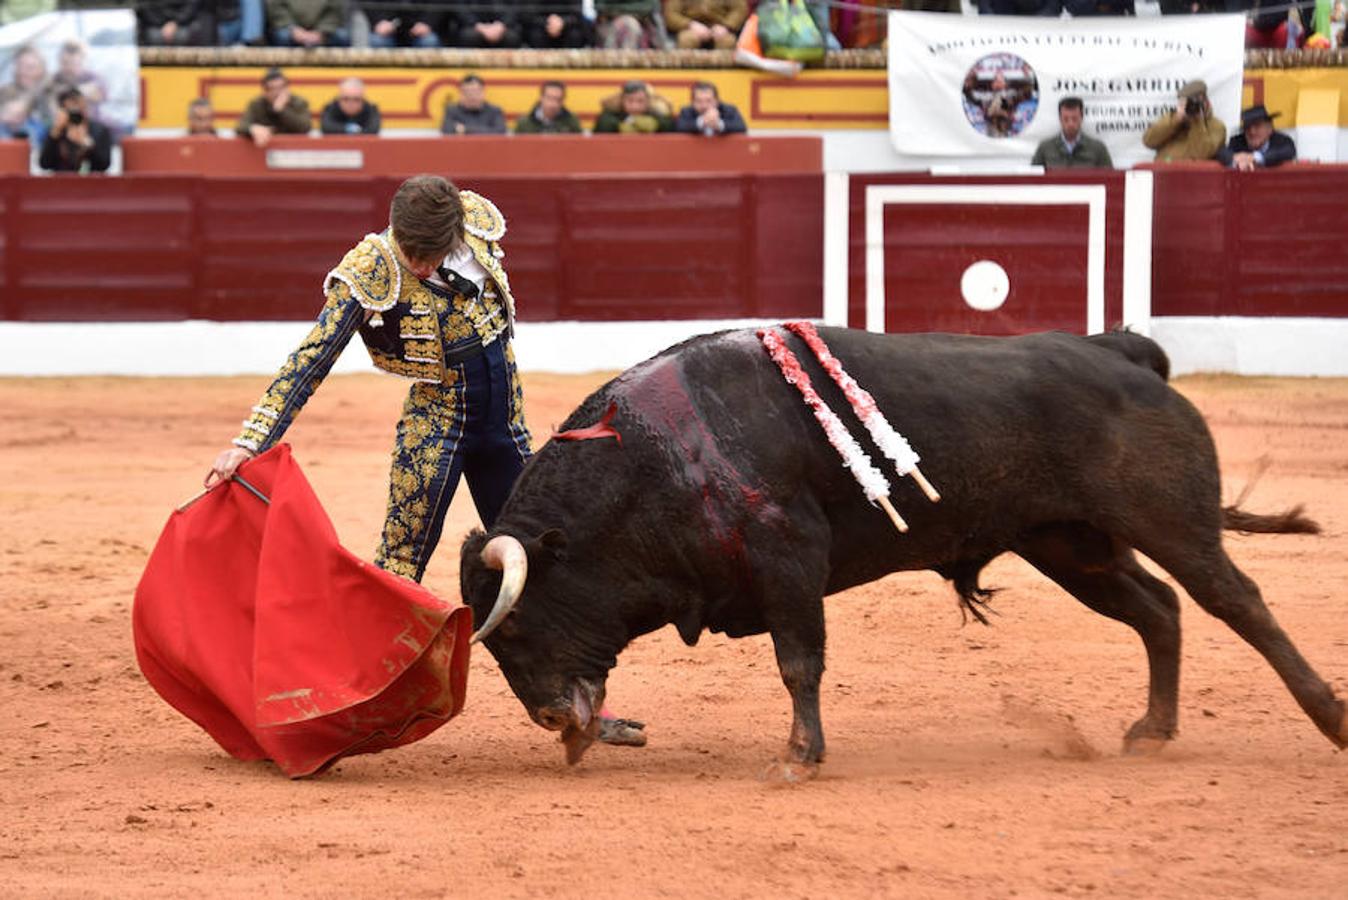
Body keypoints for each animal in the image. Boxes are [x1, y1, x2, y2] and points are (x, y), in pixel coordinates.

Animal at [461, 327, 1337, 776]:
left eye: (515, 626)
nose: (550, 717)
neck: (655, 459)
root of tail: (1121, 354)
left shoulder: (790, 560)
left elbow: (799, 662)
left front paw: (800, 756)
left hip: (1170, 522)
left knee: (1237, 602)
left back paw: (1331, 717)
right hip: (1069, 546)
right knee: (1158, 610)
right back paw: (1151, 730)